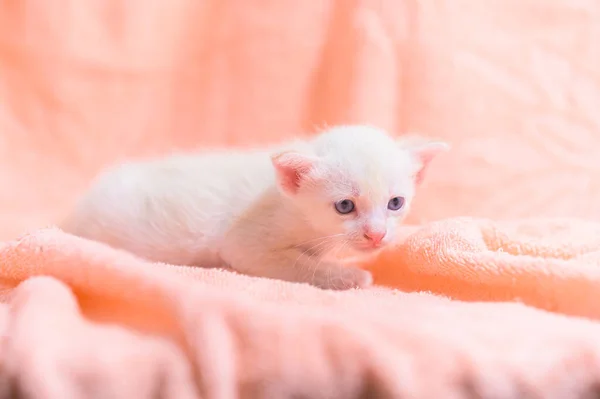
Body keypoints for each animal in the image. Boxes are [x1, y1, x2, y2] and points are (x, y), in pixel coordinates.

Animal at [63, 125, 448, 290]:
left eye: (395, 203)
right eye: (344, 206)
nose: (377, 235)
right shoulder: (245, 243)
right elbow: (301, 266)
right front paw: (350, 277)